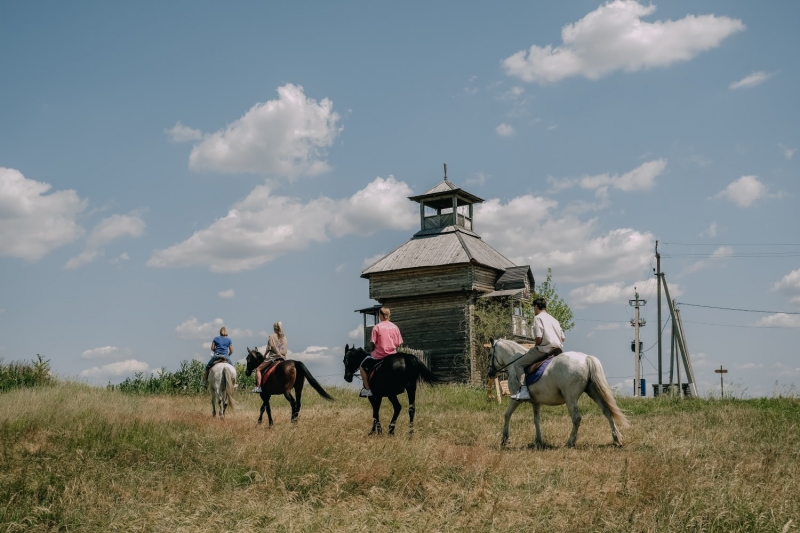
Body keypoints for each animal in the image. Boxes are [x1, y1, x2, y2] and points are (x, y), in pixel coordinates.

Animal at [490, 338, 628, 446]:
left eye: (489, 355)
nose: (490, 373)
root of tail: (586, 358)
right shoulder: (536, 402)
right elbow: (536, 420)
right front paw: (538, 440)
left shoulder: (515, 399)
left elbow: (507, 415)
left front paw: (504, 439)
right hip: (593, 392)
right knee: (607, 412)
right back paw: (617, 439)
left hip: (570, 397)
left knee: (576, 417)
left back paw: (570, 442)